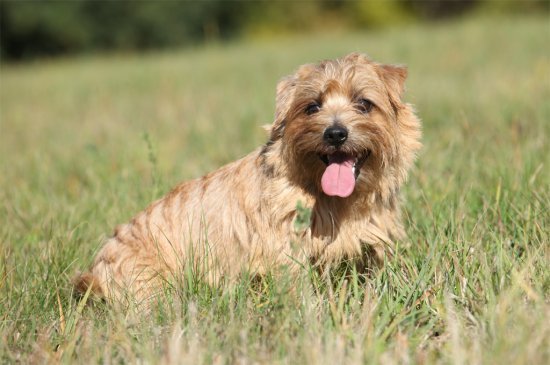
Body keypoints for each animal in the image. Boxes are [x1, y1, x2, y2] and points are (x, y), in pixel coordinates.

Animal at [75, 52, 422, 302]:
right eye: (312, 107)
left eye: (364, 103)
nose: (335, 133)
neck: (336, 201)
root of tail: (93, 273)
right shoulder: (284, 250)